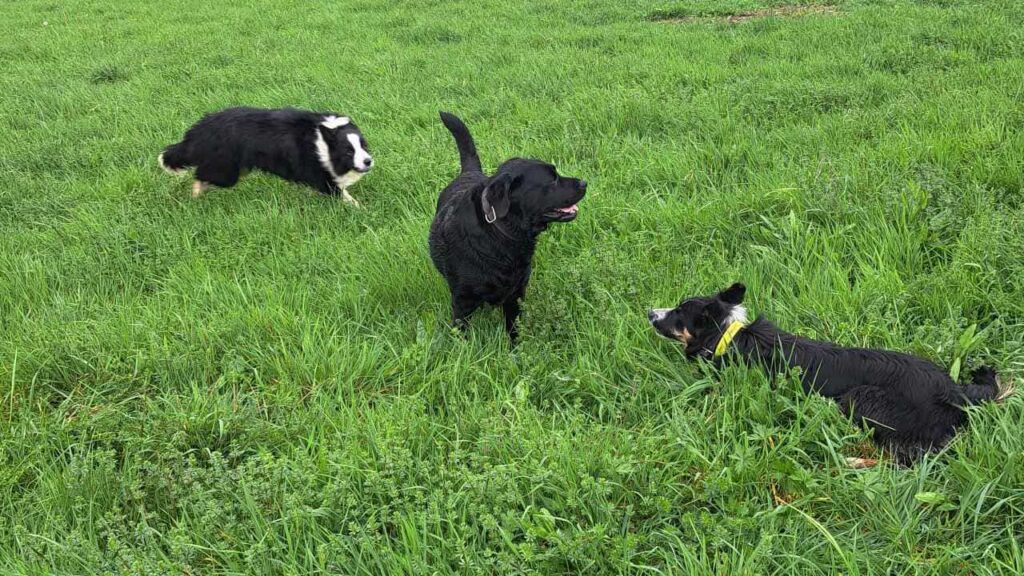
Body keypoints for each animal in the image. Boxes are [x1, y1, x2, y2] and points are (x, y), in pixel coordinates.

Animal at [163, 105, 376, 203]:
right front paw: (362, 210)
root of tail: (201, 127)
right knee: (199, 174)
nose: (368, 161)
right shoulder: (322, 176)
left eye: (364, 146)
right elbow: (345, 197)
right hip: (226, 171)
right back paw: (196, 193)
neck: (324, 139)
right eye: (348, 151)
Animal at [428, 111, 589, 340]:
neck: (500, 234)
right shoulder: (462, 303)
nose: (584, 183)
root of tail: (468, 173)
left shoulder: (516, 295)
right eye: (552, 180)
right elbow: (462, 334)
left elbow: (514, 328)